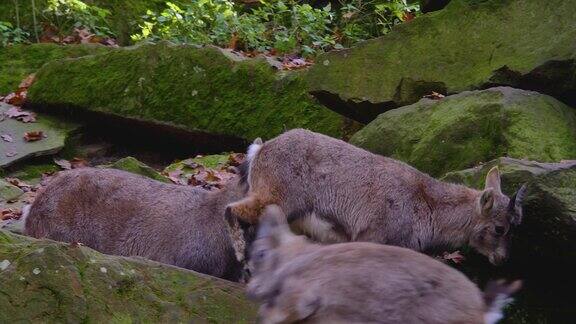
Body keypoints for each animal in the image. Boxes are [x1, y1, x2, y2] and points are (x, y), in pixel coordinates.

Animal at [226, 128, 528, 264]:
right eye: (499, 228)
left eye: (517, 226)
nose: (502, 258)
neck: (427, 205)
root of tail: (260, 150)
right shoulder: (373, 236)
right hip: (278, 198)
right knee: (232, 210)